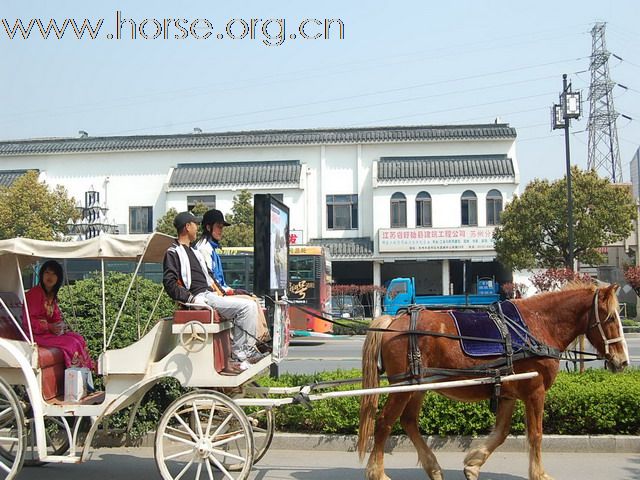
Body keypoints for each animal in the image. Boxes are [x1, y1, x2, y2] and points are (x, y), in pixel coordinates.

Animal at [358, 282, 628, 480]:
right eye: (611, 318)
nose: (623, 361)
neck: (538, 326)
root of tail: (393, 322)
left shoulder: (508, 392)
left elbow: (502, 432)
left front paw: (473, 464)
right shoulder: (535, 390)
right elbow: (536, 434)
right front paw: (539, 474)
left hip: (419, 385)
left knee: (408, 421)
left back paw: (432, 467)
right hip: (404, 387)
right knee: (384, 422)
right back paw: (377, 473)